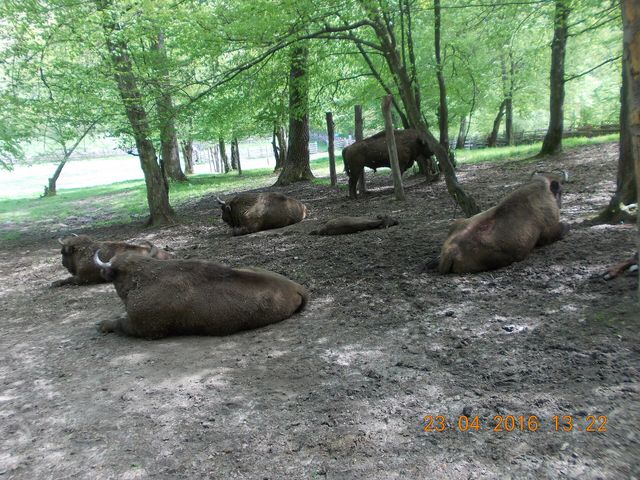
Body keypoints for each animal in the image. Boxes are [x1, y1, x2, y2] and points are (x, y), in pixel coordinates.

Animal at [428, 174, 569, 274]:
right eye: (560, 192)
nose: (561, 204)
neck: (541, 193)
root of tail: (451, 251)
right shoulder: (549, 231)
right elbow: (565, 227)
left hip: (458, 222)